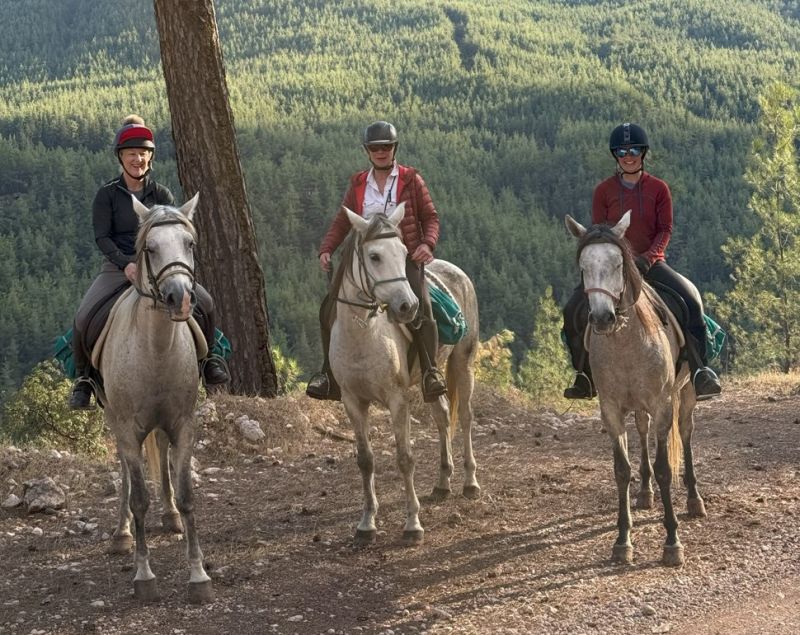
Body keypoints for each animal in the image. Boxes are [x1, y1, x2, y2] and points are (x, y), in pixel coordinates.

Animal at [96, 196, 212, 604]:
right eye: (149, 248)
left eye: (189, 244)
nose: (180, 298)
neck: (156, 349)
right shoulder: (128, 430)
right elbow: (139, 499)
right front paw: (144, 575)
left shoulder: (184, 425)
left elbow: (189, 495)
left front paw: (198, 575)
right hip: (115, 422)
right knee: (126, 472)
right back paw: (121, 535)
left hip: (161, 425)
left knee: (160, 452)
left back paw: (170, 515)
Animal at [332, 205, 482, 548]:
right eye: (374, 256)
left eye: (403, 253)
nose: (408, 306)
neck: (364, 337)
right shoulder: (352, 401)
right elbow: (365, 460)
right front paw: (366, 524)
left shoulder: (397, 400)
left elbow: (404, 458)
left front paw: (412, 524)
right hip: (432, 380)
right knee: (442, 416)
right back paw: (442, 482)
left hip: (462, 362)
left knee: (466, 417)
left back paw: (469, 481)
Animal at [564, 212, 704, 568]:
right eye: (583, 267)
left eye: (617, 264)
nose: (602, 318)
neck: (627, 343)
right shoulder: (611, 410)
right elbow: (621, 470)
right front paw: (622, 540)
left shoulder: (662, 405)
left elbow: (666, 469)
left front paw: (672, 542)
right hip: (639, 407)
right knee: (641, 431)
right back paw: (644, 494)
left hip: (686, 395)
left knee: (685, 433)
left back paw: (694, 500)